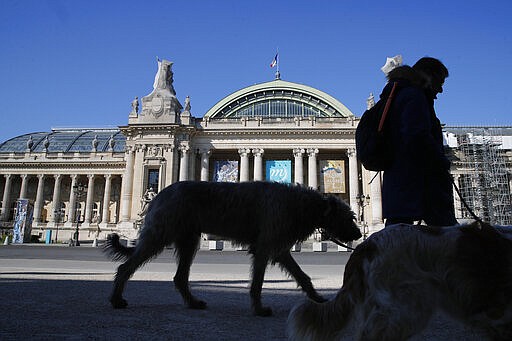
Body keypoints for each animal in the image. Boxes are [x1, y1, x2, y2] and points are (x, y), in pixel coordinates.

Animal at [104, 181, 360, 316]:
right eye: (349, 217)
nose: (358, 235)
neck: (300, 204)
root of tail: (158, 194)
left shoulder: (279, 249)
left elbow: (303, 276)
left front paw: (317, 298)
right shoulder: (264, 248)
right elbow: (257, 282)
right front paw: (258, 308)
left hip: (188, 241)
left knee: (180, 277)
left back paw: (193, 303)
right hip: (160, 235)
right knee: (126, 267)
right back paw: (116, 300)